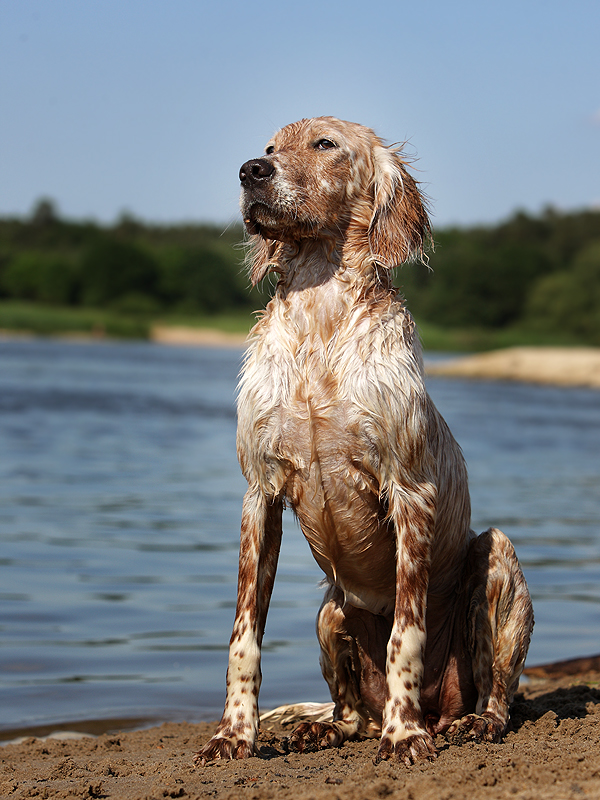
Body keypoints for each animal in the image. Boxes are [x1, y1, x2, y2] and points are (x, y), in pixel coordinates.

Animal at [195, 117, 532, 764]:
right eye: (270, 148)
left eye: (325, 144)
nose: (251, 171)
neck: (319, 319)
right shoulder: (260, 495)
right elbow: (244, 635)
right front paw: (234, 734)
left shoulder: (410, 493)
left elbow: (406, 633)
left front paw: (404, 738)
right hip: (331, 608)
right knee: (350, 714)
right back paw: (325, 728)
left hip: (496, 558)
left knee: (496, 691)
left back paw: (457, 722)